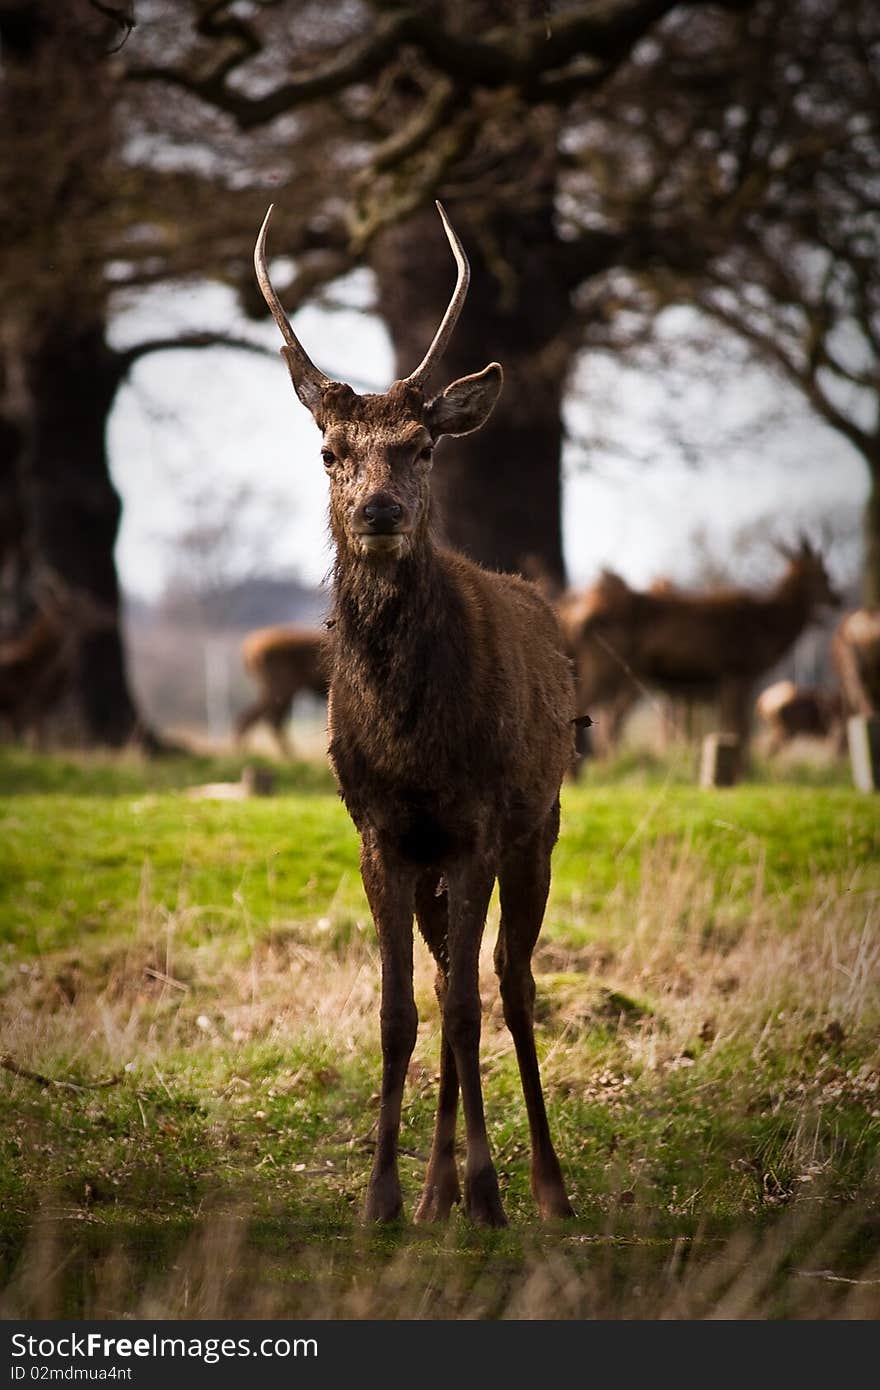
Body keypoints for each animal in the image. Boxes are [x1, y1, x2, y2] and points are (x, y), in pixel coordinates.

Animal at [251, 201, 575, 1223]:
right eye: (330, 452)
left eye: (422, 447)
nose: (381, 511)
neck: (412, 743)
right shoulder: (379, 830)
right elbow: (400, 1009)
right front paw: (384, 1198)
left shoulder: (477, 824)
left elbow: (470, 1006)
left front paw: (489, 1191)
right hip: (441, 857)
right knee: (445, 977)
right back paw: (437, 1194)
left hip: (538, 824)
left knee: (509, 983)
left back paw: (543, 1187)